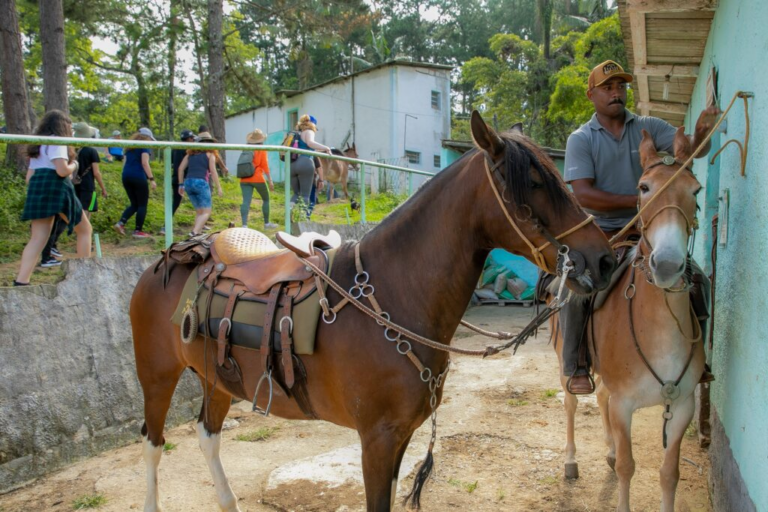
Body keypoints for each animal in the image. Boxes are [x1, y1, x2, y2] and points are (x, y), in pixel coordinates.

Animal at [129, 113, 616, 512]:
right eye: (533, 183)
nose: (603, 259)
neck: (395, 296)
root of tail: (174, 255)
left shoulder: (400, 437)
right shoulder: (376, 441)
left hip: (215, 378)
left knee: (207, 436)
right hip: (158, 375)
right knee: (153, 444)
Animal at [552, 128, 708, 512]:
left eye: (696, 190)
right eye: (643, 187)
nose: (666, 265)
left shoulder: (682, 404)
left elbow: (669, 474)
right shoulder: (625, 405)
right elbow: (627, 467)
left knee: (601, 397)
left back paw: (606, 450)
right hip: (565, 362)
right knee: (572, 403)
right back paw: (571, 462)